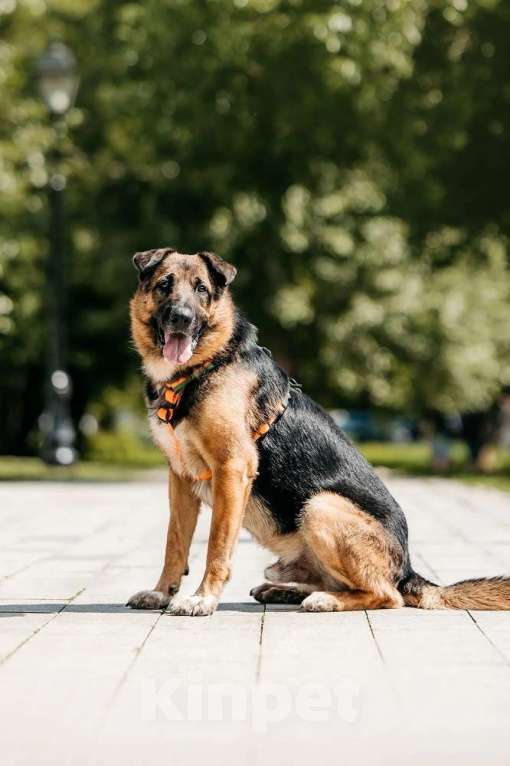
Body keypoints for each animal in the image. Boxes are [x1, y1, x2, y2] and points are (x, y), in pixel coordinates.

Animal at [128, 249, 510, 616]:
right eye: (164, 284)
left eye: (201, 289)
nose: (181, 318)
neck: (200, 369)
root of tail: (407, 571)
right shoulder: (179, 477)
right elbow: (175, 543)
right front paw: (161, 592)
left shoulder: (232, 468)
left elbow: (217, 547)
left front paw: (202, 599)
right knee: (338, 582)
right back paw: (285, 591)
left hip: (320, 505)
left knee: (386, 596)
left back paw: (325, 600)